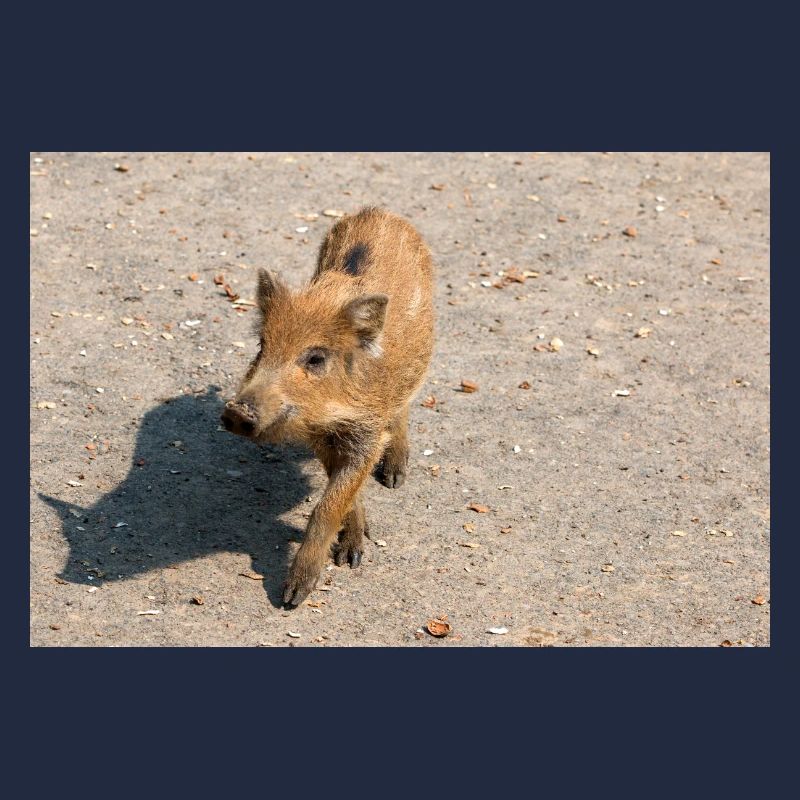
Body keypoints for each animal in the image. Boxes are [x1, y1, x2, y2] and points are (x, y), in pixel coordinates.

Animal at [221, 207, 434, 606]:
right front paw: (352, 551)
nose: (235, 413)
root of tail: (381, 211)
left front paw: (293, 596)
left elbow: (327, 505)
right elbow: (341, 493)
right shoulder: (321, 436)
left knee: (403, 409)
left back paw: (394, 478)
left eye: (316, 358)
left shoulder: (366, 433)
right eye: (262, 345)